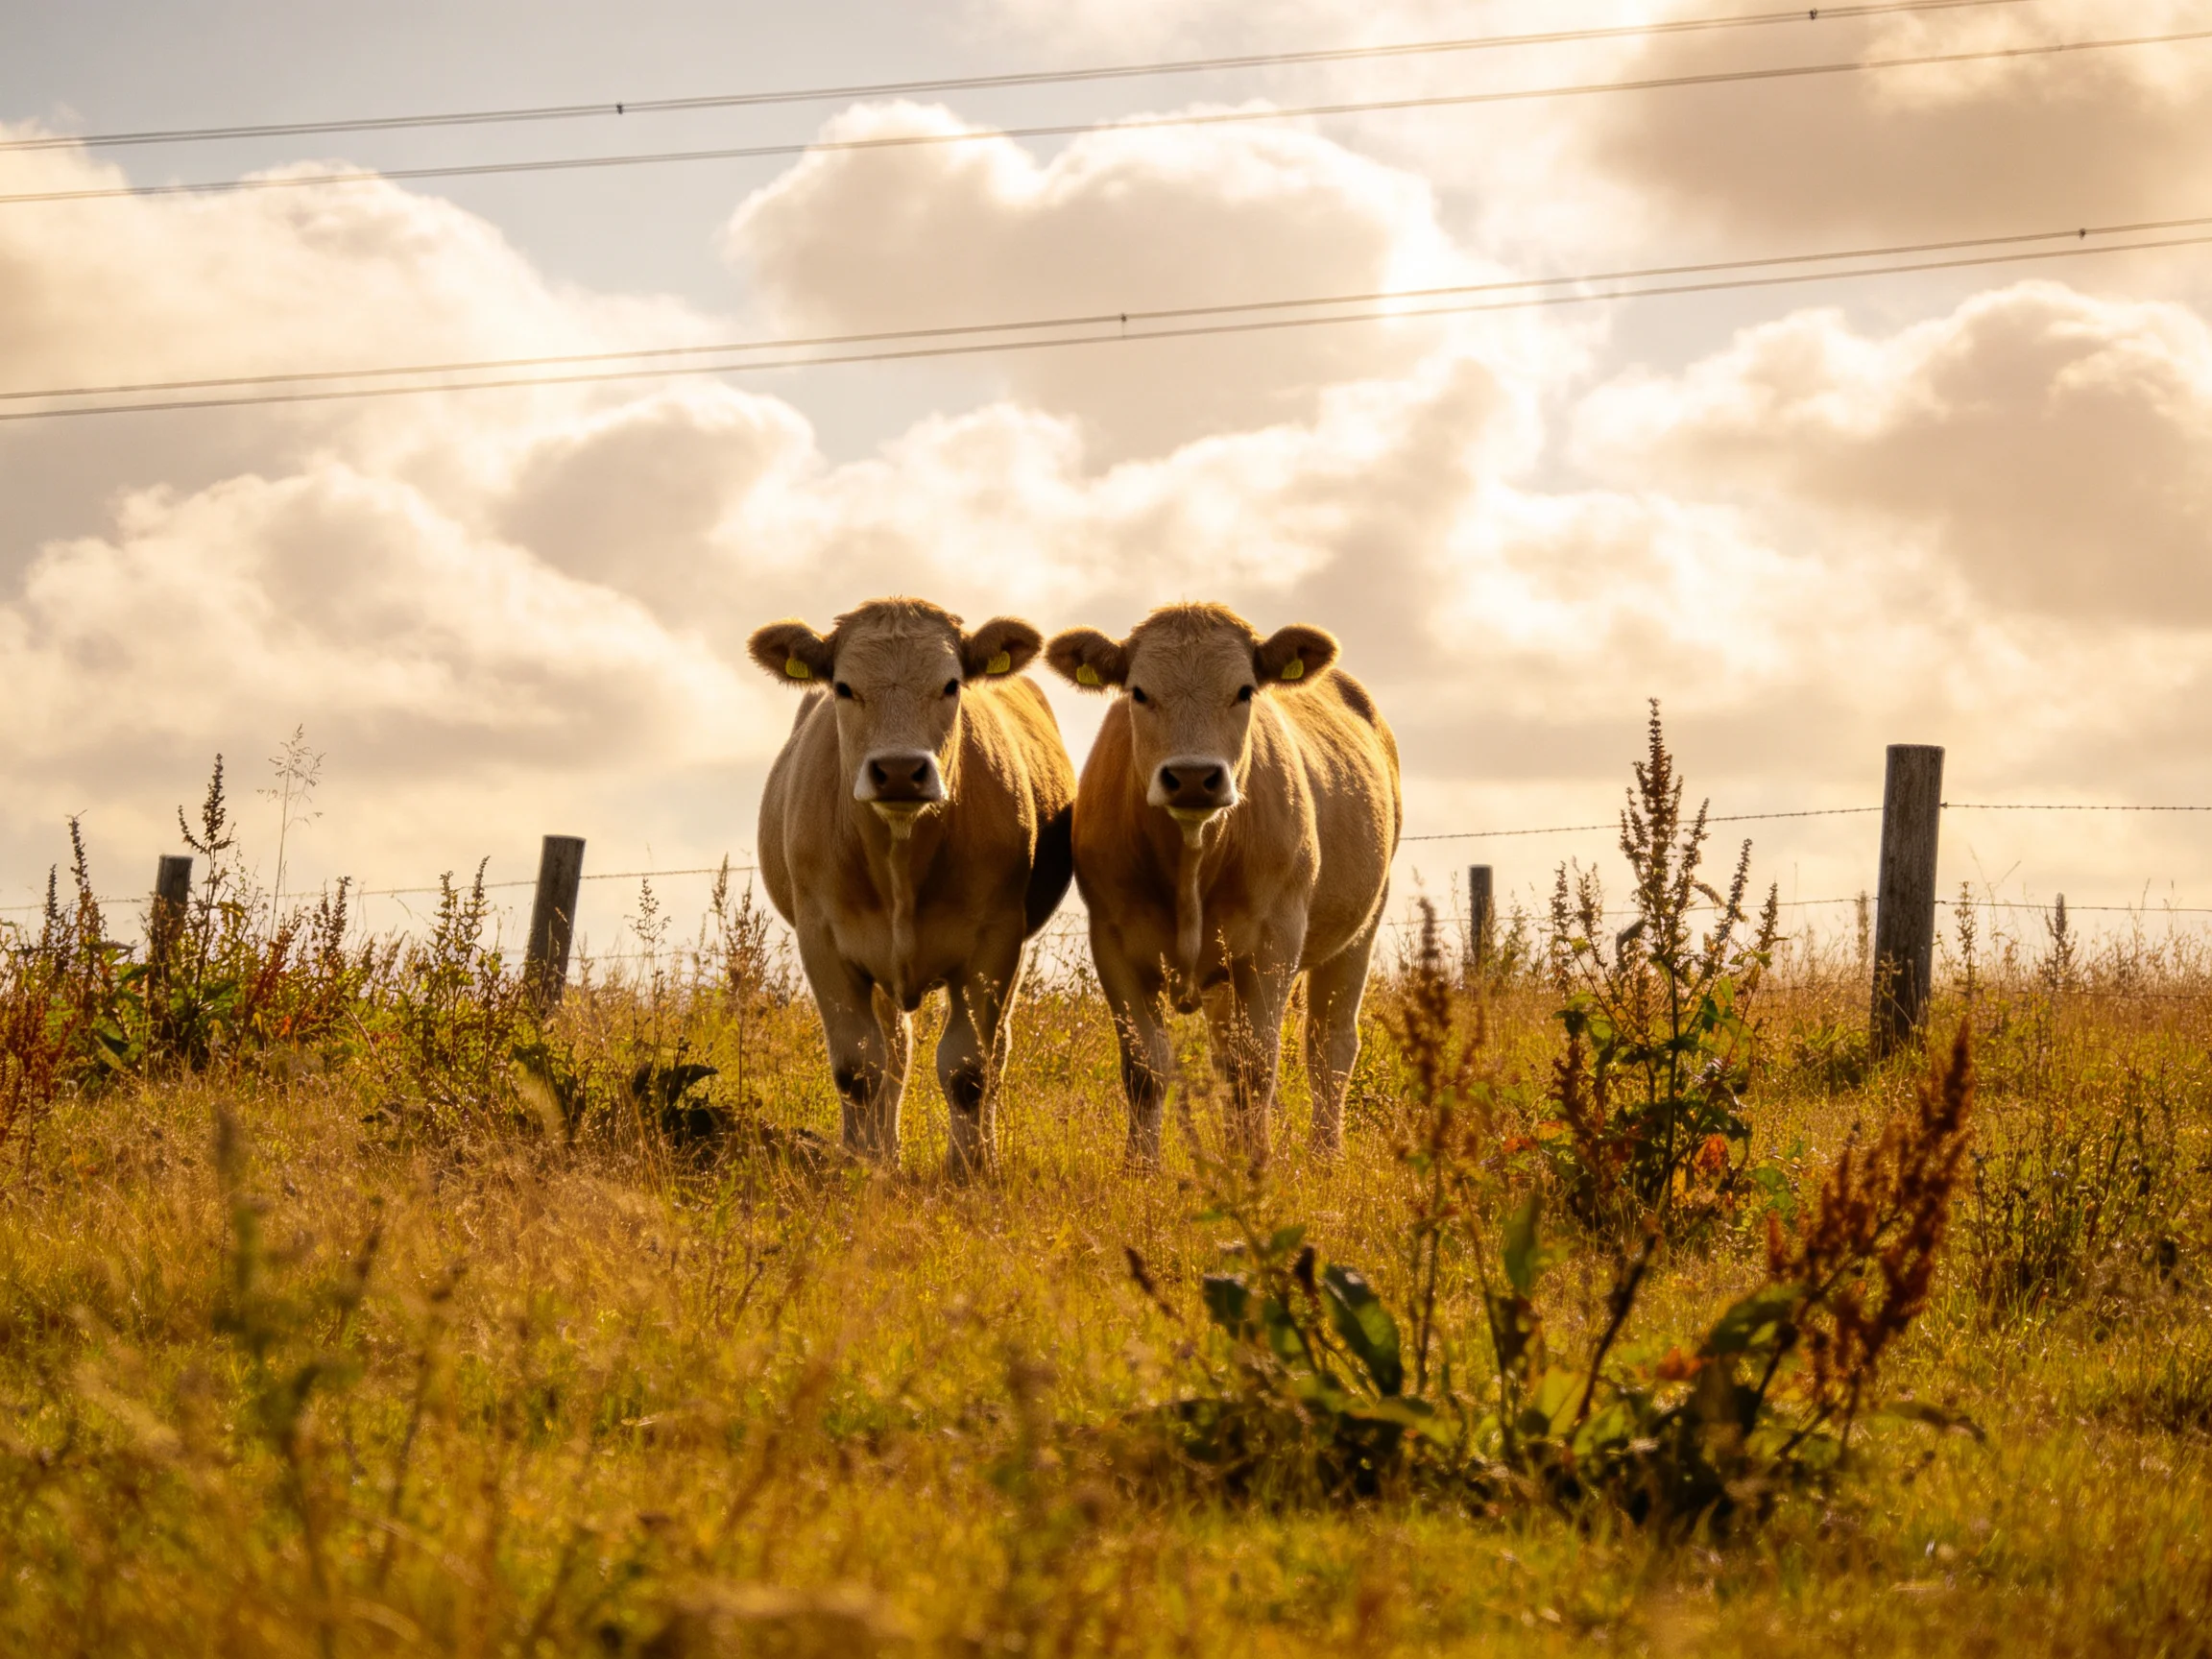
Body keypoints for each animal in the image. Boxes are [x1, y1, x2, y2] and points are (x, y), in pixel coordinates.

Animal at [750, 598, 1076, 1175]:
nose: (900, 770)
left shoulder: (995, 942)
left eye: (950, 685)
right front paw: (861, 1164)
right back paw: (883, 1151)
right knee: (894, 1052)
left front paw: (968, 1170)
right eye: (844, 687)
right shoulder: (823, 940)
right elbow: (858, 1068)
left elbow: (969, 1069)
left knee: (994, 1051)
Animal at [1045, 603, 1401, 1164]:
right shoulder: (1113, 940)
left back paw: (1325, 1154)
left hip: (1360, 928)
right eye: (1139, 692)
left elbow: (1254, 1068)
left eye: (1244, 691)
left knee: (1329, 1046)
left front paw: (1255, 1163)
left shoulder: (1273, 944)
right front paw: (1141, 1168)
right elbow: (1146, 1067)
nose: (1193, 777)